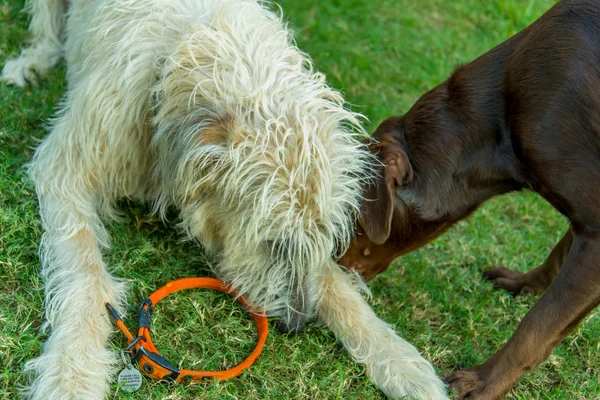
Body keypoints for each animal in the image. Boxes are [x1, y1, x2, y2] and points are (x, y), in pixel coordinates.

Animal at [3, 0, 446, 398]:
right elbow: (85, 277)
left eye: (322, 239)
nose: (297, 324)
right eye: (271, 243)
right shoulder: (68, 169)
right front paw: (72, 373)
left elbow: (333, 283)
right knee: (46, 32)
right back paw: (32, 63)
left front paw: (399, 360)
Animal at [340, 0, 600, 398]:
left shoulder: (597, 232)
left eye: (347, 215)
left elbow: (538, 325)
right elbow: (557, 257)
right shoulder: (583, 214)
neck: (501, 123)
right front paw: (525, 283)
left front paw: (483, 383)